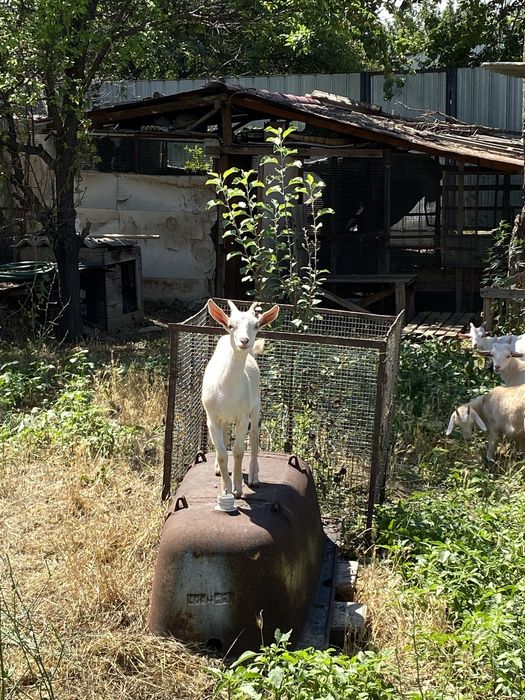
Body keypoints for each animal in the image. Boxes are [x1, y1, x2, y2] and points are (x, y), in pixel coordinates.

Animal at [201, 298, 280, 498]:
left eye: (256, 325)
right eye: (230, 325)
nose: (244, 341)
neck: (226, 388)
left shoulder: (243, 417)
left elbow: (238, 451)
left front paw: (236, 488)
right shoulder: (212, 417)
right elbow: (222, 453)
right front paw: (225, 487)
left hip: (255, 405)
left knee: (254, 438)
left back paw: (253, 475)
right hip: (224, 417)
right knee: (225, 435)